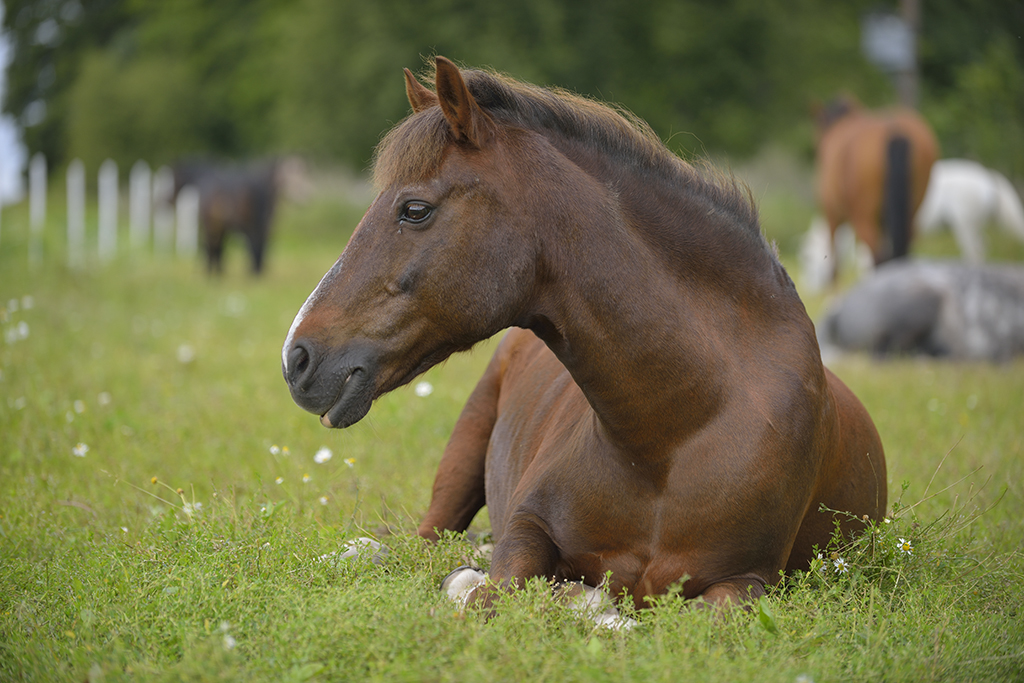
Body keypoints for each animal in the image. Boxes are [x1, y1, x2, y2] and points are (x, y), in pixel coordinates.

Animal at [282, 57, 887, 615]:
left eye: (414, 209)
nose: (297, 358)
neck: (676, 437)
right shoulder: (526, 532)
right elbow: (497, 591)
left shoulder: (747, 582)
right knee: (421, 542)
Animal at [815, 96, 938, 281]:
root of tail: (894, 129)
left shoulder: (832, 214)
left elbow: (835, 265)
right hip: (910, 215)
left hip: (864, 220)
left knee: (878, 258)